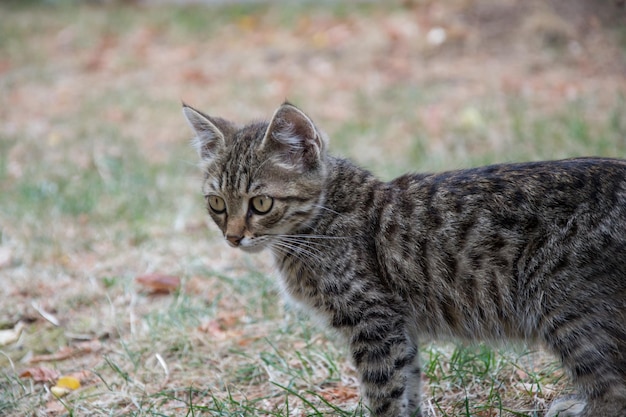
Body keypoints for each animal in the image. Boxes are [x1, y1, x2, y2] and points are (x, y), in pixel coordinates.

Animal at [183, 101, 624, 416]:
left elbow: (383, 393)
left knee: (613, 392)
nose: (233, 237)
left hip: (568, 312)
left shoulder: (374, 320)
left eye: (261, 203)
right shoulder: (399, 326)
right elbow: (408, 384)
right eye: (217, 204)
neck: (321, 220)